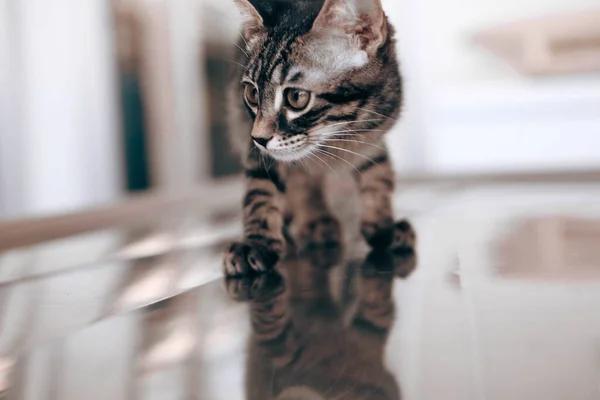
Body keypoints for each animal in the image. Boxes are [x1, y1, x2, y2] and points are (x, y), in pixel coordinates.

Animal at [224, 0, 404, 278]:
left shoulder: (374, 135)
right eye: (252, 94)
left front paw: (382, 226)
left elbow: (378, 176)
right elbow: (260, 193)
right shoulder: (255, 146)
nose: (259, 138)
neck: (335, 138)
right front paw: (258, 244)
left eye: (296, 97)